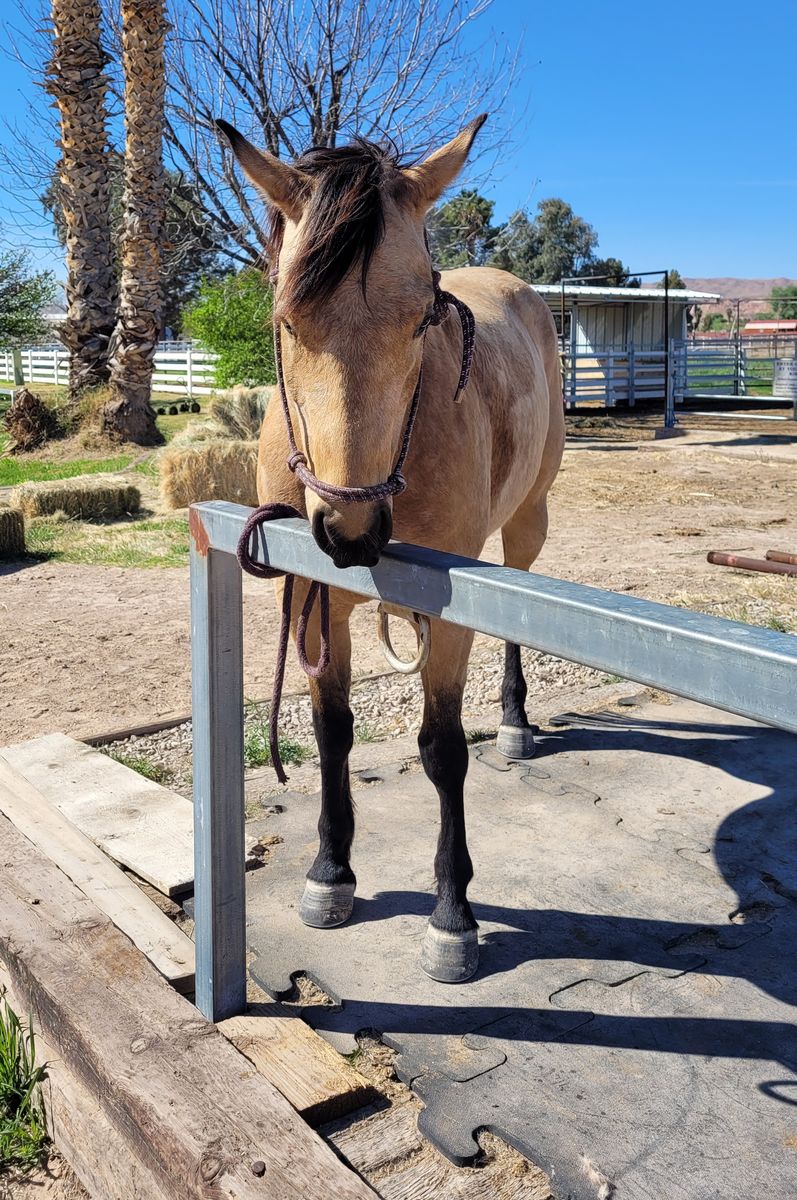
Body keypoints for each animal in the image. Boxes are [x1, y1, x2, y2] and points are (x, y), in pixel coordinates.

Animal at [218, 115, 565, 982]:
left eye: (420, 320)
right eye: (286, 321)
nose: (349, 531)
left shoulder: (450, 616)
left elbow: (442, 750)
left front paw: (451, 915)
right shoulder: (310, 601)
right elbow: (331, 731)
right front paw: (329, 872)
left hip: (527, 522)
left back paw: (514, 722)